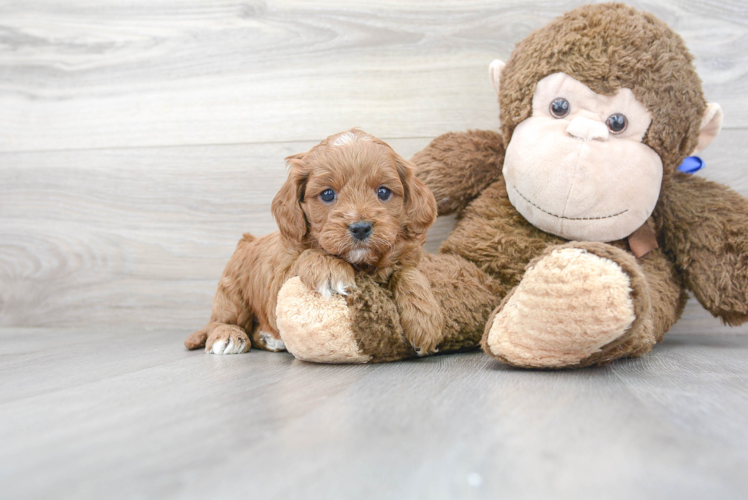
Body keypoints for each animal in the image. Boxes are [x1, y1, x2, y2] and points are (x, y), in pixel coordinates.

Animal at [184, 129, 442, 356]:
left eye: (383, 192)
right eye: (327, 194)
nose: (360, 228)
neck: (362, 264)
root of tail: (246, 242)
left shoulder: (405, 257)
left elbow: (408, 272)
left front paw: (426, 321)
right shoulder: (280, 280)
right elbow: (306, 256)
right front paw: (329, 268)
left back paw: (270, 340)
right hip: (232, 292)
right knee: (220, 321)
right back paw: (228, 336)